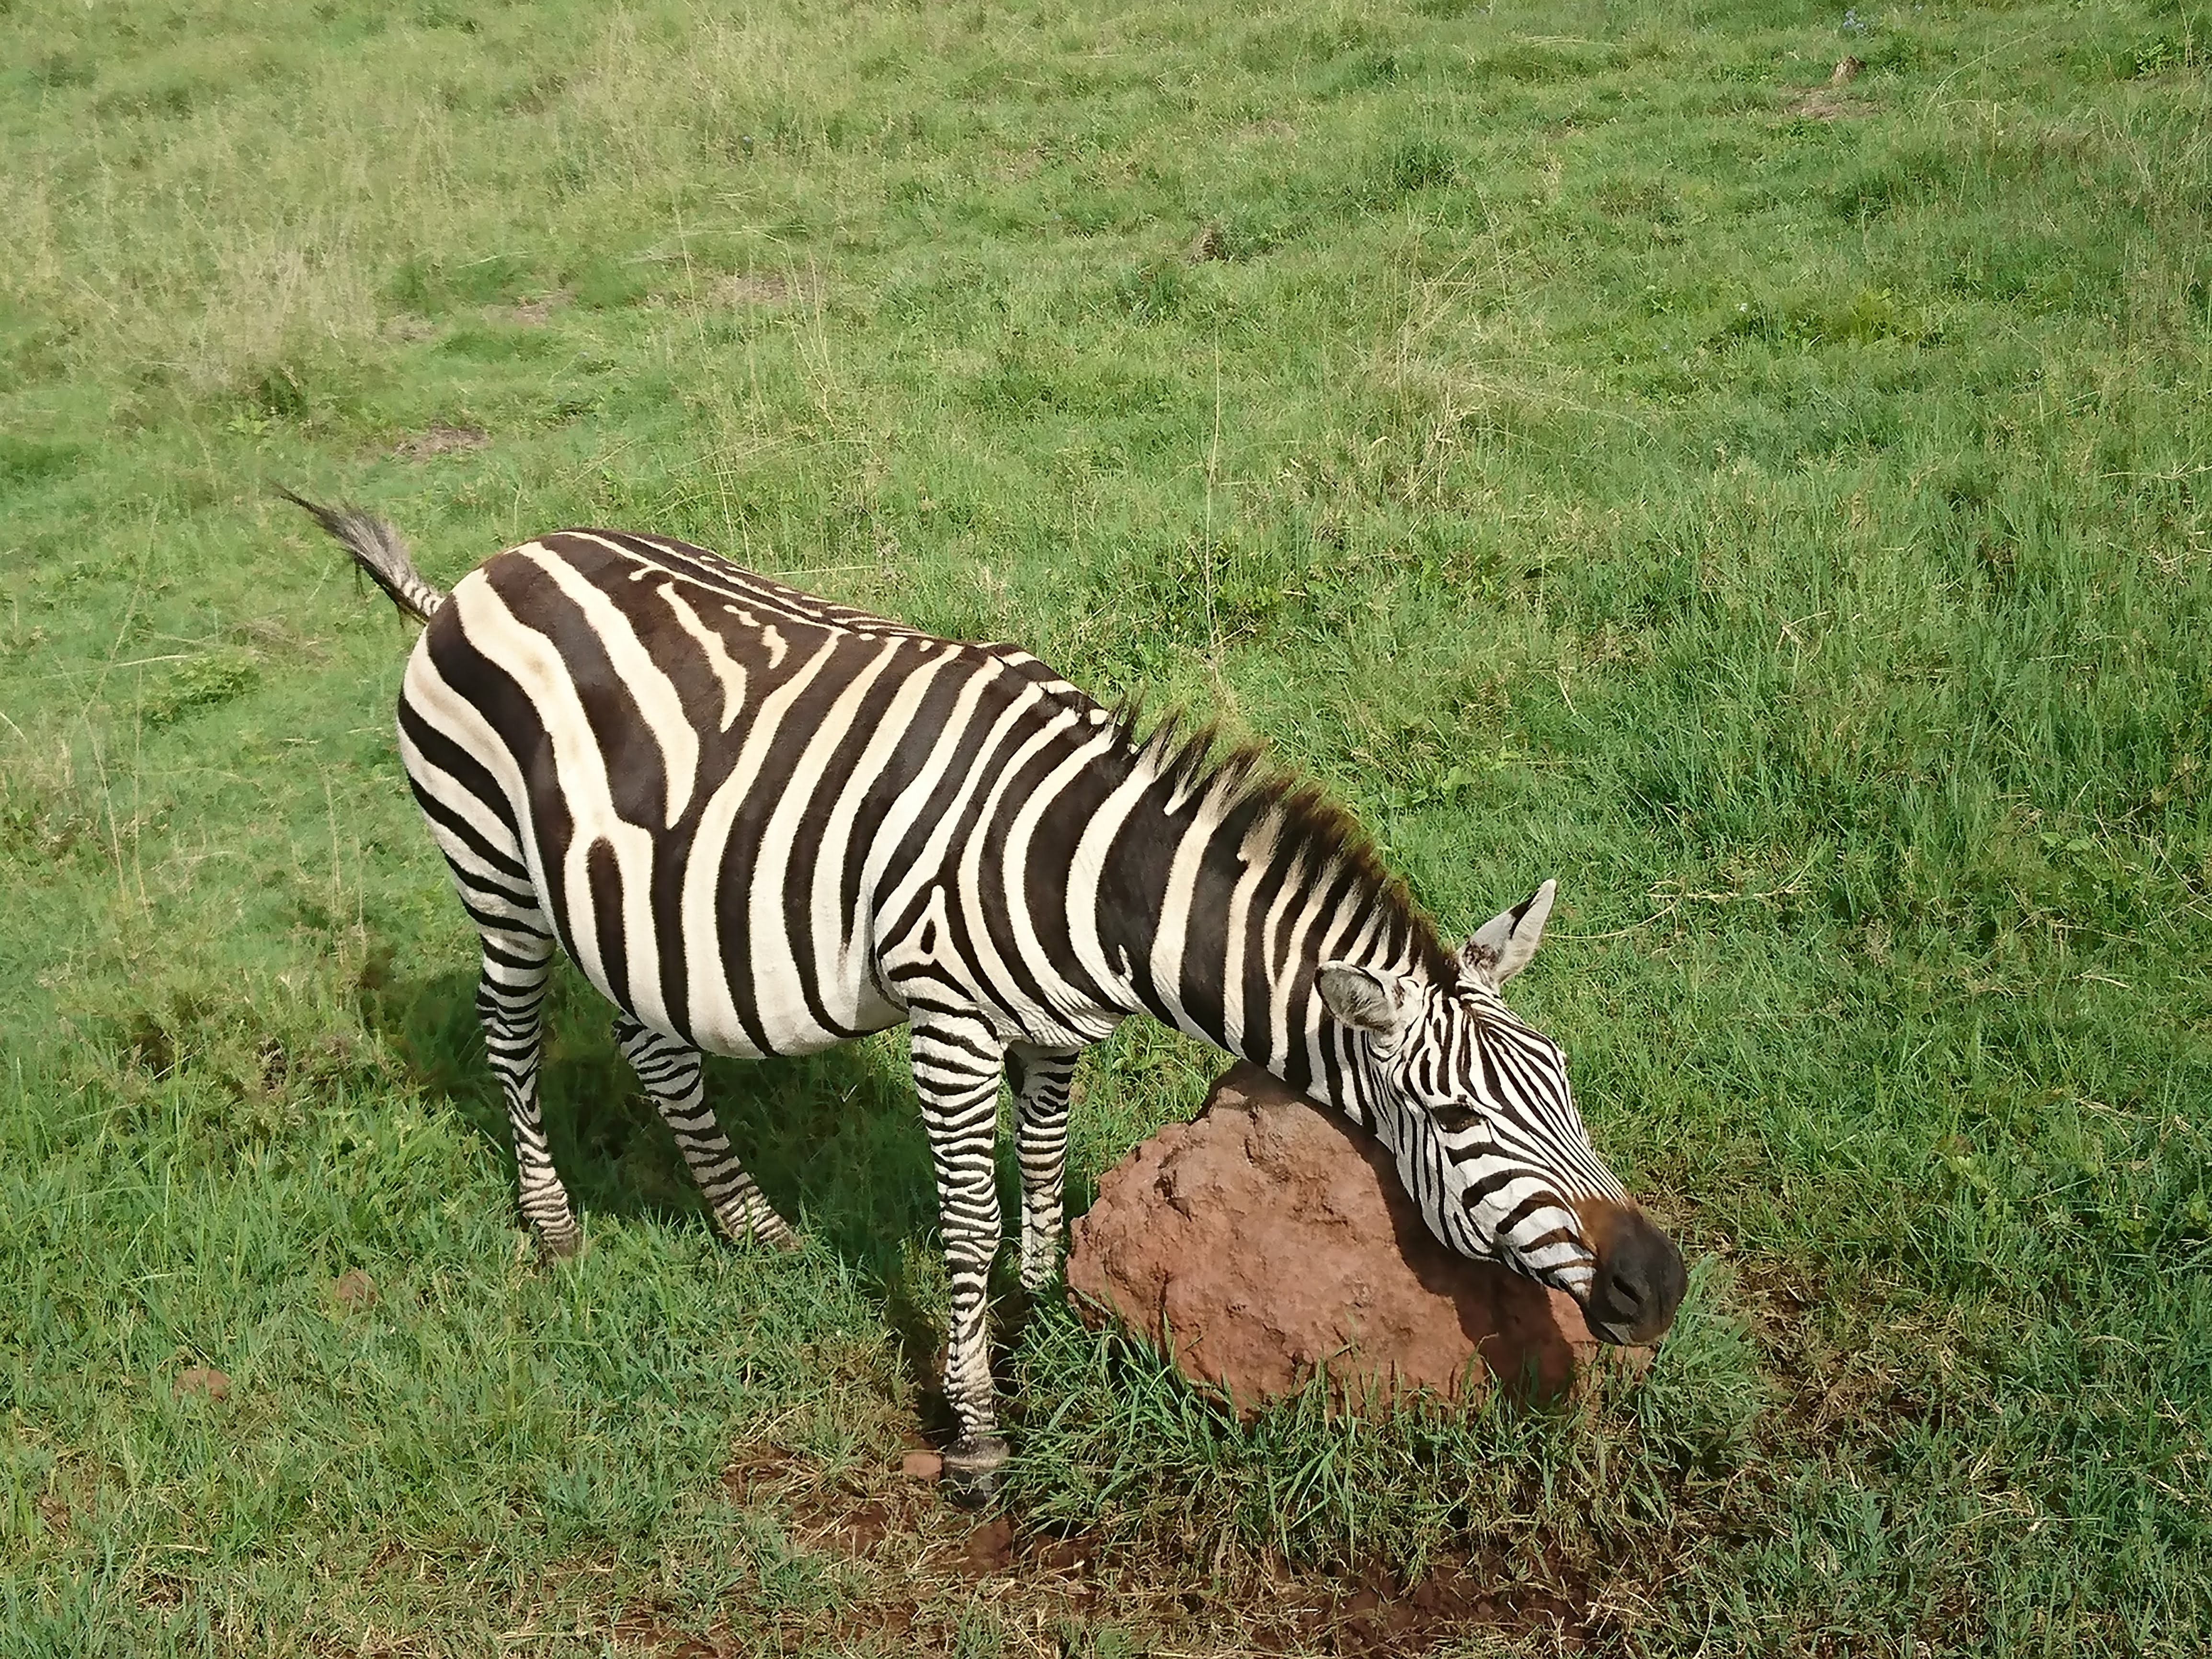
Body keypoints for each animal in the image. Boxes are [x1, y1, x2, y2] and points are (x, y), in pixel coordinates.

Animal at [285, 498, 1681, 1504]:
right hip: (493, 870)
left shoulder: (1056, 1035)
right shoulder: (950, 1026)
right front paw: (973, 1429)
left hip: (631, 898)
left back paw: (749, 1223)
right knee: (510, 1037)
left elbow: (1047, 1175)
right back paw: (553, 1225)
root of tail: (479, 575)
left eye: (1563, 1080)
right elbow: (962, 1224)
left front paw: (1049, 1305)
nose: (1658, 1283)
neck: (1097, 882)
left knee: (652, 1039)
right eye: (1451, 1122)